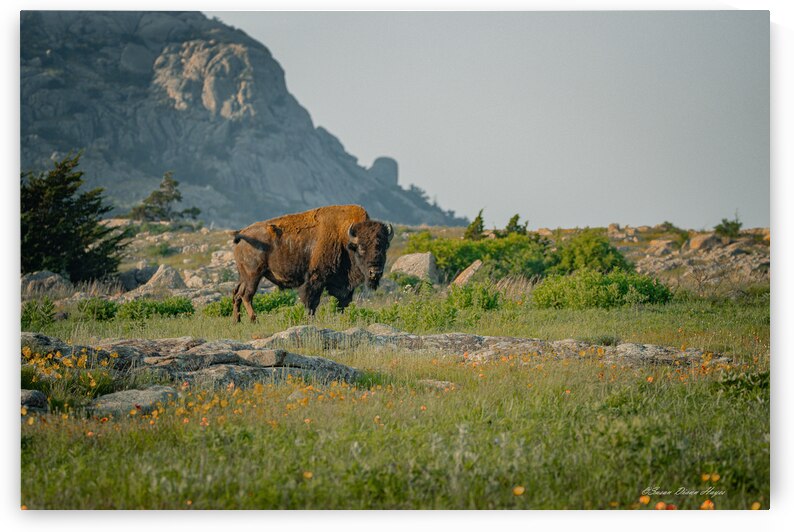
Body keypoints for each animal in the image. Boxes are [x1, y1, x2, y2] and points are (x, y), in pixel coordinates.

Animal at [230, 205, 393, 322]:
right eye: (361, 248)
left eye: (384, 247)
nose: (375, 272)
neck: (344, 239)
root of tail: (242, 233)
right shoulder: (315, 280)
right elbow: (311, 302)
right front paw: (310, 320)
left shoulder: (343, 286)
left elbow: (342, 303)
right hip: (254, 275)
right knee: (247, 295)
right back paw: (254, 320)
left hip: (244, 276)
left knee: (237, 294)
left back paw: (237, 321)